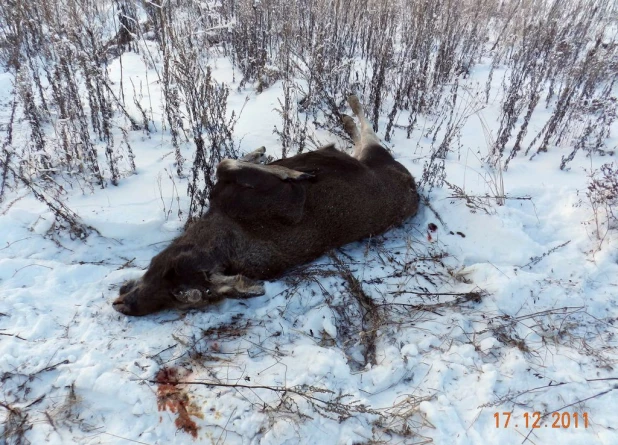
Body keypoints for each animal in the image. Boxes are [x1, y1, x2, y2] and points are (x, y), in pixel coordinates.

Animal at [112, 95, 416, 314]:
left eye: (172, 275)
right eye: (179, 299)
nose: (124, 306)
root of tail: (413, 186)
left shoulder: (280, 197)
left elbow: (226, 164)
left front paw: (278, 165)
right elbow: (229, 163)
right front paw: (271, 160)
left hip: (374, 155)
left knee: (368, 131)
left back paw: (349, 105)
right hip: (368, 155)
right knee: (363, 135)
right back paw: (346, 117)